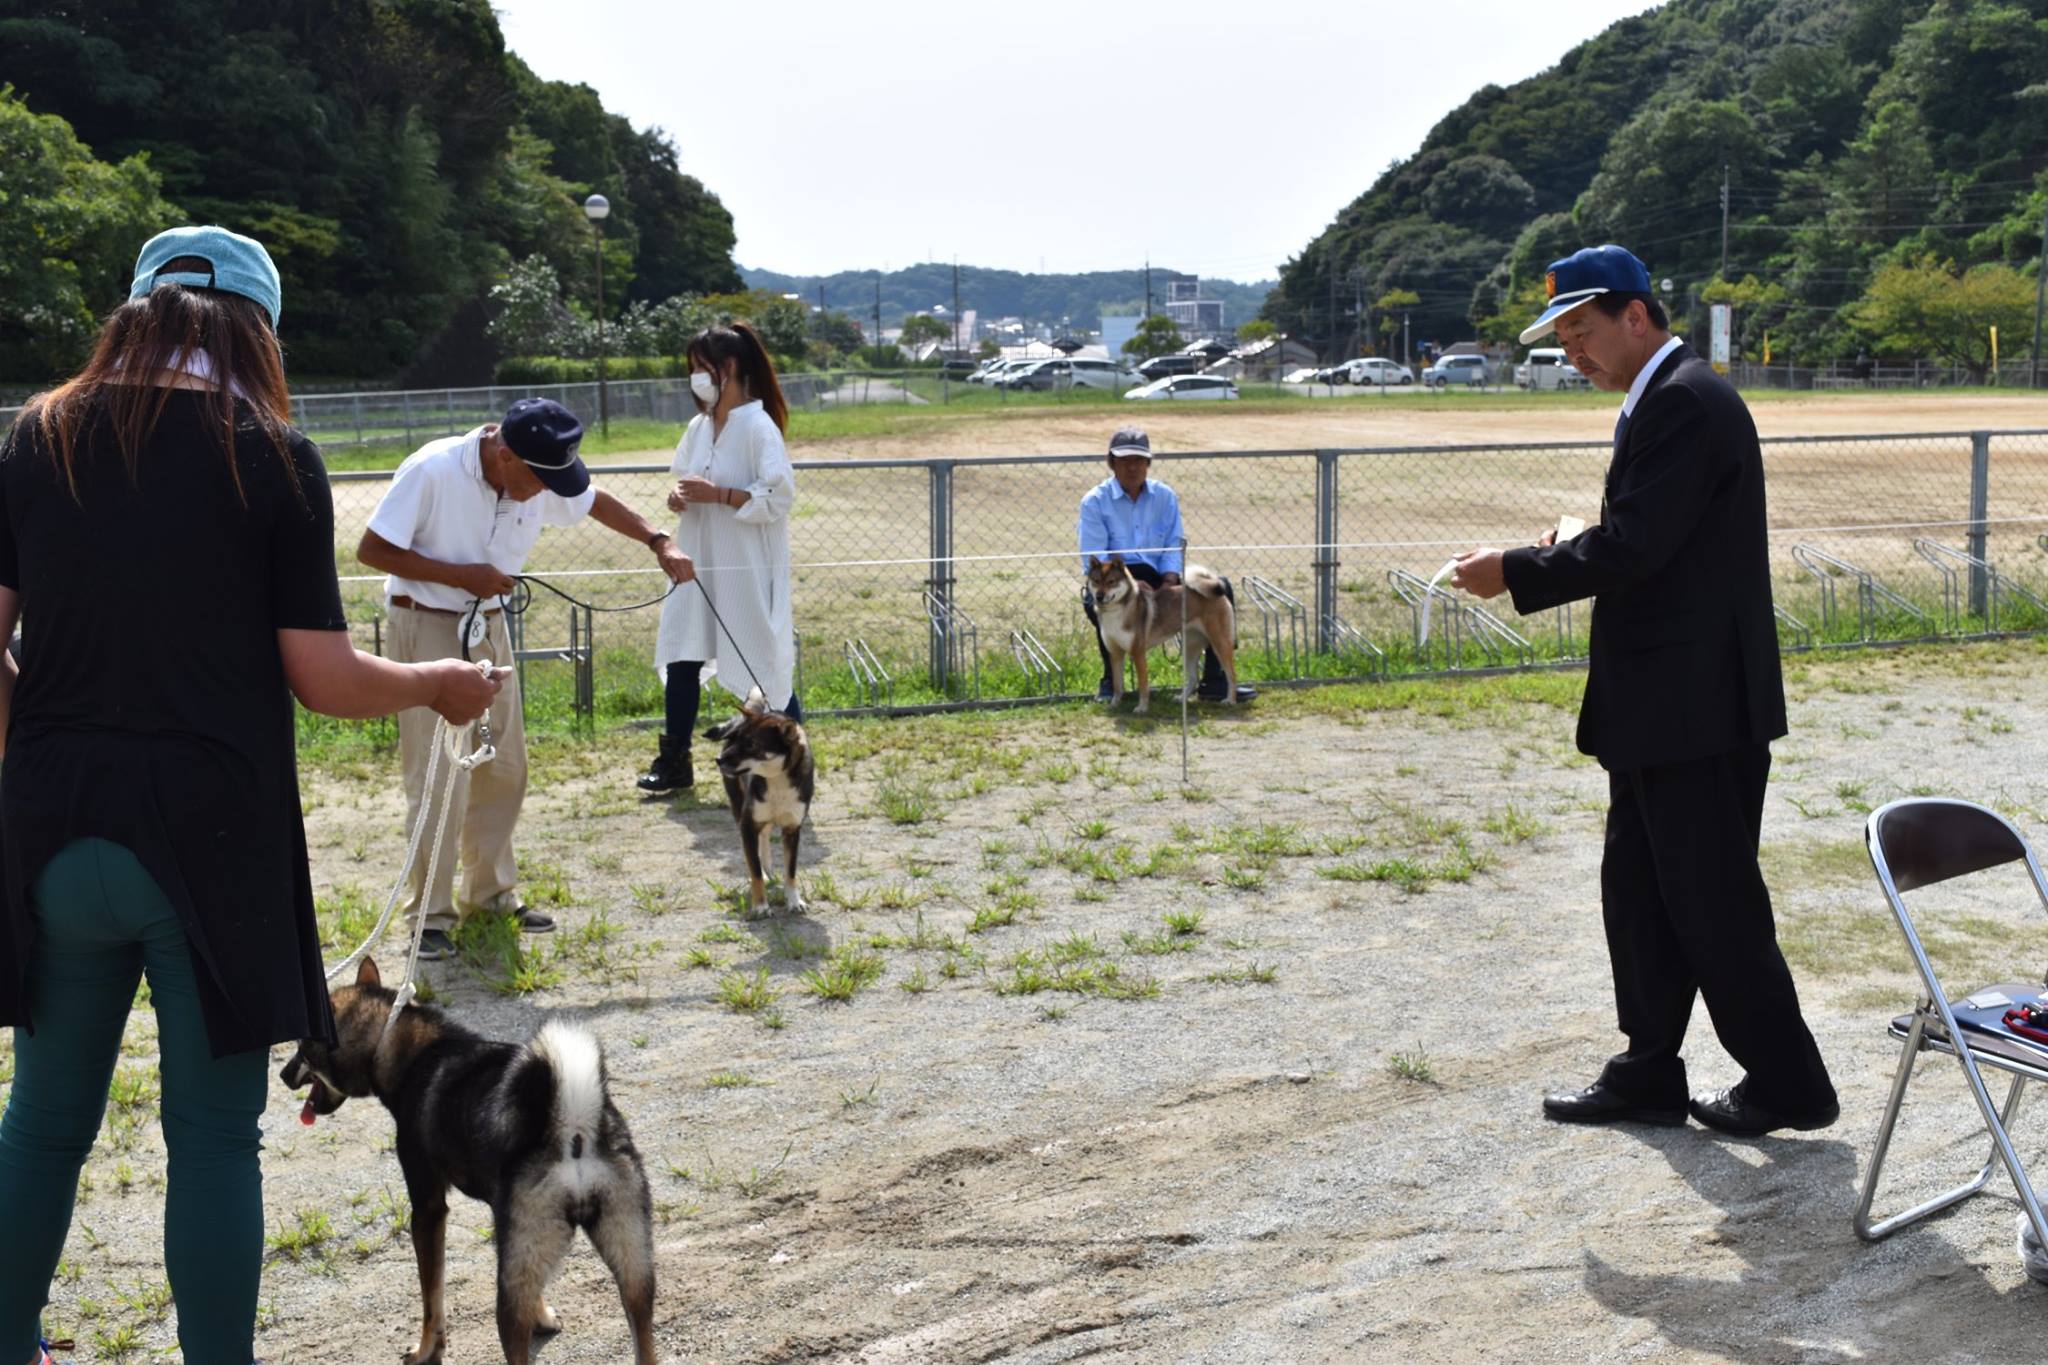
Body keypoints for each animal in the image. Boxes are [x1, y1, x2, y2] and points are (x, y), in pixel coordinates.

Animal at [280, 959, 656, 1365]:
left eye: (303, 1048)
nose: (282, 1075)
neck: (407, 1049)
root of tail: (572, 1128)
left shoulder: (428, 1211)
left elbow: (431, 1299)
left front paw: (425, 1350)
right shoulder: (503, 1219)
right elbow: (533, 1290)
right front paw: (543, 1316)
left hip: (512, 1292)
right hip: (634, 1271)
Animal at [704, 686, 815, 915]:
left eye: (752, 744)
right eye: (736, 739)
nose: (719, 760)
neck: (777, 780)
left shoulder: (792, 829)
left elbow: (791, 871)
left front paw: (794, 901)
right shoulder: (747, 825)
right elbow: (754, 870)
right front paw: (761, 906)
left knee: (764, 837)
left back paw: (769, 870)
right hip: (740, 806)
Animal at [1086, 554, 1238, 714]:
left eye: (1111, 582)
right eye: (1096, 581)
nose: (1099, 596)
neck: (1116, 612)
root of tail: (1217, 589)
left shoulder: (1138, 653)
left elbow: (1143, 686)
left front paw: (1142, 707)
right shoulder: (1115, 653)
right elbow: (1117, 685)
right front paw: (1114, 704)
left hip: (1220, 644)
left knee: (1232, 675)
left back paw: (1230, 701)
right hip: (1189, 649)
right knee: (1194, 678)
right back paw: (1181, 698)